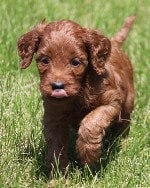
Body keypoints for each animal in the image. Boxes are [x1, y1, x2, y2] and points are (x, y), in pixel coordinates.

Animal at [17, 15, 135, 172]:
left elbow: (91, 121)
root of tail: (115, 45)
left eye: (75, 62)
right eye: (45, 60)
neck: (79, 91)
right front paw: (58, 172)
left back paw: (124, 145)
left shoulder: (111, 103)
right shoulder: (53, 116)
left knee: (124, 126)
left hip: (127, 103)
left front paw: (88, 154)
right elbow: (56, 145)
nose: (57, 86)